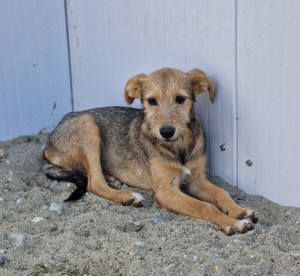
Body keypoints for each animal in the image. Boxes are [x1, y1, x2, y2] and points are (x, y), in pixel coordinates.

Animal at [44, 68, 258, 234]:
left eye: (180, 99)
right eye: (151, 101)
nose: (166, 131)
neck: (178, 148)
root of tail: (48, 145)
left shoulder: (197, 180)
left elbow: (222, 193)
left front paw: (239, 210)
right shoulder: (166, 191)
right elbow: (205, 206)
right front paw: (233, 223)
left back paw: (113, 179)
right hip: (88, 125)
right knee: (94, 183)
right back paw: (128, 196)